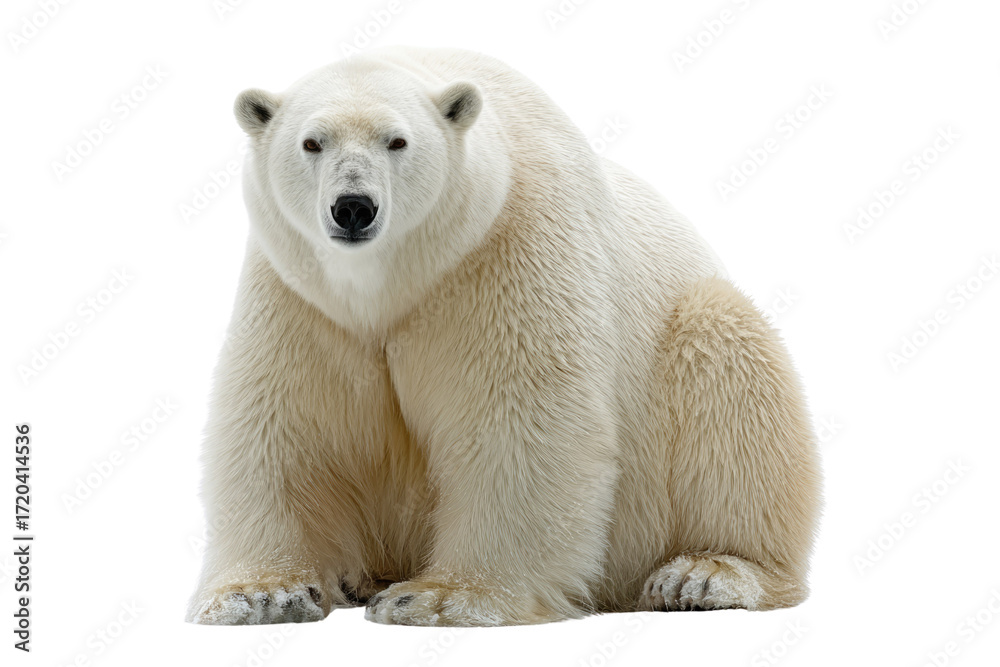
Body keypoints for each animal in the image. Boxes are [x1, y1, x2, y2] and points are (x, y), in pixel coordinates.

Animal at [186, 46, 822, 627]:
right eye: (311, 143)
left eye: (398, 141)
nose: (353, 208)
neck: (390, 284)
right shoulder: (303, 297)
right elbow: (284, 424)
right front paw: (262, 595)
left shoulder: (505, 248)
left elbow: (518, 421)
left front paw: (438, 597)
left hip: (685, 350)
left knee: (728, 368)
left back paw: (705, 573)